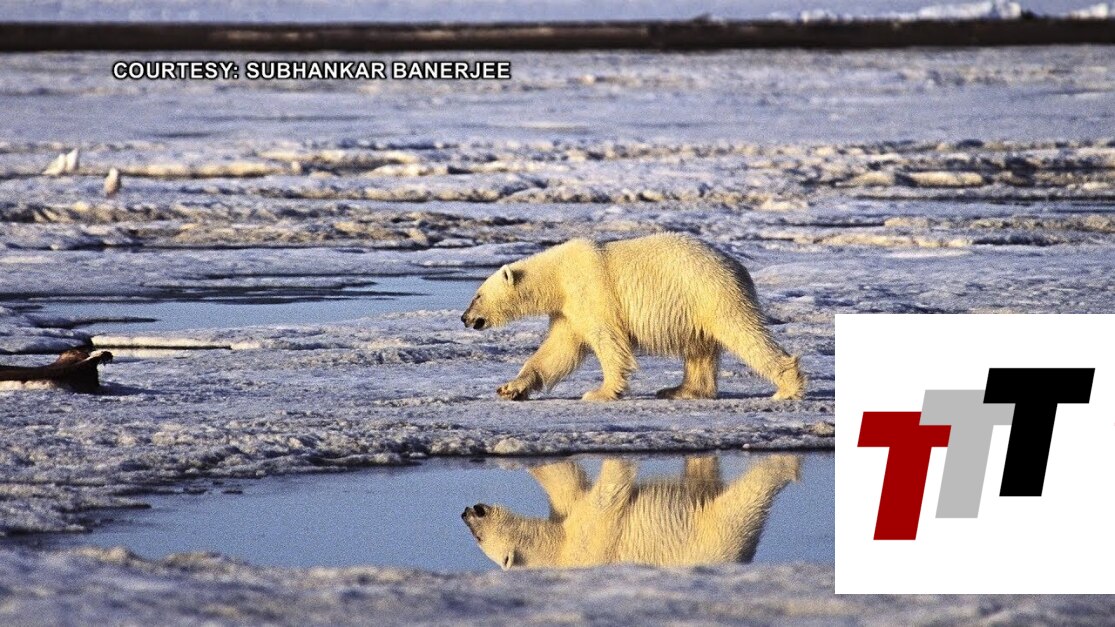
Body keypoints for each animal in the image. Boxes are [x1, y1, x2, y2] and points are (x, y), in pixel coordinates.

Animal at [460, 233, 805, 401]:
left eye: (477, 294)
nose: (465, 318)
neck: (557, 275)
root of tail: (738, 266)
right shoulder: (568, 310)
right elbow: (557, 351)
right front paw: (510, 388)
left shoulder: (592, 291)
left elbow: (607, 341)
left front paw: (599, 393)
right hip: (695, 305)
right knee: (700, 348)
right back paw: (681, 390)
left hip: (710, 291)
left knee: (742, 332)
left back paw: (786, 387)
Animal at [460, 454, 802, 569]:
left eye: (478, 538)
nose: (467, 511)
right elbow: (569, 489)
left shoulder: (591, 541)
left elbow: (602, 499)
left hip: (712, 533)